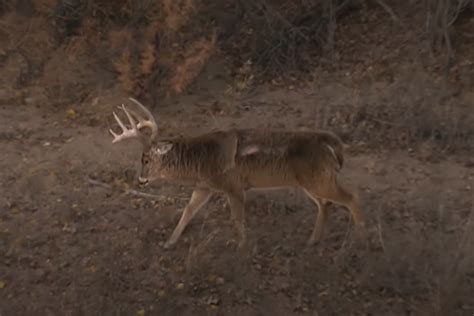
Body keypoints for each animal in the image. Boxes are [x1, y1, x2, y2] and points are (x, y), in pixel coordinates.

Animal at [110, 98, 366, 249]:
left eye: (145, 159)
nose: (141, 180)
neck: (201, 160)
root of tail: (333, 144)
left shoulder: (233, 185)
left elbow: (237, 218)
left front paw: (242, 247)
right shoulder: (204, 186)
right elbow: (188, 211)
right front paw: (169, 242)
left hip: (319, 179)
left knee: (351, 197)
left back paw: (359, 239)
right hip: (311, 181)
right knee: (326, 204)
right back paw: (313, 240)